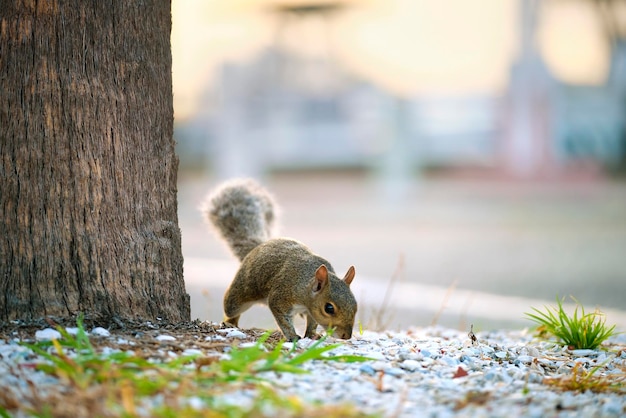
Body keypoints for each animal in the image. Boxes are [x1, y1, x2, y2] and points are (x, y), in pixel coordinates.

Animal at [202, 178, 354, 342]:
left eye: (355, 303)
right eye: (329, 308)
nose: (346, 336)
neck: (304, 285)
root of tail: (258, 246)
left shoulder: (310, 310)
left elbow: (312, 321)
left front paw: (311, 334)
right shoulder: (281, 297)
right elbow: (283, 320)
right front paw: (292, 336)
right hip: (241, 292)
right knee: (230, 307)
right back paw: (230, 322)